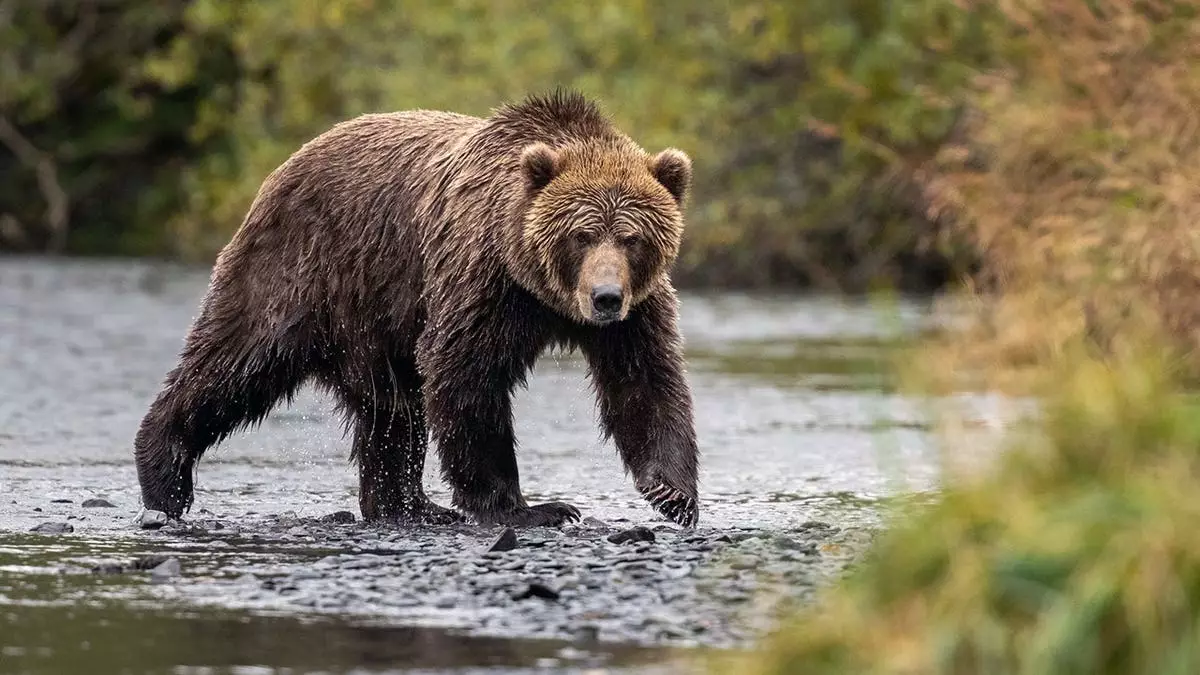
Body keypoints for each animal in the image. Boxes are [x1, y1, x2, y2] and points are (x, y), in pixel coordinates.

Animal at [134, 90, 700, 528]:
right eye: (581, 235)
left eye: (631, 238)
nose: (605, 297)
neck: (542, 294)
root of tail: (287, 163)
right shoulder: (482, 279)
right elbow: (464, 371)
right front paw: (530, 508)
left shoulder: (636, 312)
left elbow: (645, 381)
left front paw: (673, 494)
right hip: (304, 269)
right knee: (237, 360)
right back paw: (163, 476)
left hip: (374, 321)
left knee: (391, 409)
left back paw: (409, 506)